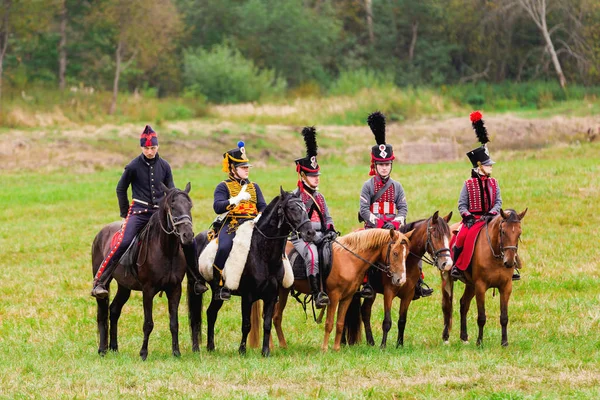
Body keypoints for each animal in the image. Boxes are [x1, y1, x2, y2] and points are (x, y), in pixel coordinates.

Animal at [91, 183, 195, 360]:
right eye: (173, 207)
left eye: (190, 206)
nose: (187, 235)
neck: (166, 250)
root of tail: (101, 233)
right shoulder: (148, 290)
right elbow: (148, 323)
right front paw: (143, 353)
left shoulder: (175, 289)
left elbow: (174, 323)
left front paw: (176, 352)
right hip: (104, 284)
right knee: (102, 314)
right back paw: (103, 349)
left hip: (124, 287)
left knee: (114, 310)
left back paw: (114, 347)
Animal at [189, 188, 316, 356]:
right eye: (292, 208)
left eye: (305, 208)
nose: (310, 233)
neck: (264, 254)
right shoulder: (247, 296)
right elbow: (246, 324)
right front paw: (242, 350)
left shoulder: (271, 296)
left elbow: (267, 324)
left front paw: (265, 351)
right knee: (196, 316)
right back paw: (198, 347)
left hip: (216, 292)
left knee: (211, 313)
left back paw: (211, 347)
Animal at [272, 227, 412, 352]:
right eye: (395, 253)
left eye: (407, 255)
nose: (401, 280)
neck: (349, 259)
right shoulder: (333, 296)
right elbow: (329, 323)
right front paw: (324, 349)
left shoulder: (347, 297)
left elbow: (340, 323)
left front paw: (336, 348)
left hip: (283, 291)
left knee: (276, 317)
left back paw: (282, 346)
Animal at [354, 211, 452, 348]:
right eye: (435, 235)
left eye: (449, 235)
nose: (447, 263)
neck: (407, 263)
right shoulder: (388, 292)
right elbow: (387, 321)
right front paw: (383, 346)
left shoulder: (408, 294)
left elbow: (402, 320)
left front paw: (399, 345)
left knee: (365, 310)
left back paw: (370, 342)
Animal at [438, 208, 528, 346]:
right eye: (503, 231)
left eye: (519, 233)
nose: (509, 262)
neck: (495, 254)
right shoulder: (480, 286)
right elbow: (481, 317)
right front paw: (479, 342)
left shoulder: (506, 287)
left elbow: (504, 317)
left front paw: (504, 342)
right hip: (448, 278)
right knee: (446, 305)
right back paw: (446, 337)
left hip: (471, 285)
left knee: (464, 304)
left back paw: (464, 337)